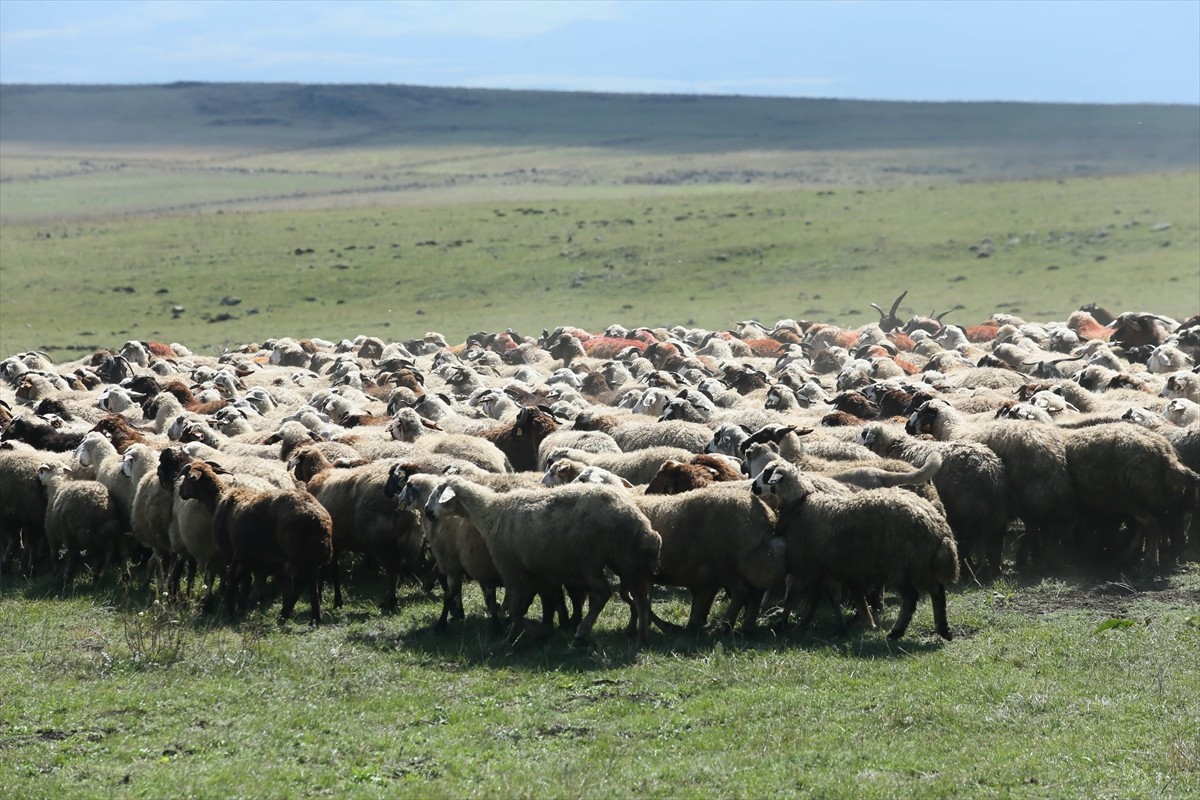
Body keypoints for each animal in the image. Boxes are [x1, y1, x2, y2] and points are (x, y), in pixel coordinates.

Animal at [175, 455, 333, 623]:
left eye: (186, 478)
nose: (180, 492)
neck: (218, 499)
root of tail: (320, 519)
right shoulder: (244, 554)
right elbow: (243, 580)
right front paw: (241, 606)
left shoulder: (228, 551)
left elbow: (232, 580)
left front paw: (230, 611)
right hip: (312, 558)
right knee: (310, 585)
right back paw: (310, 619)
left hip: (298, 555)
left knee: (300, 584)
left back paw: (287, 617)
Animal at [420, 474, 667, 652]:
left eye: (437, 493)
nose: (426, 511)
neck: (490, 512)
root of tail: (643, 525)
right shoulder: (538, 573)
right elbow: (533, 605)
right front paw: (541, 630)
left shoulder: (512, 570)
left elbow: (516, 608)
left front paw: (512, 637)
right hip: (625, 561)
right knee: (641, 598)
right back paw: (642, 639)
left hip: (590, 560)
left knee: (602, 594)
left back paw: (581, 634)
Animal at [748, 460, 955, 642]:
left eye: (767, 473)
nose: (753, 487)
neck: (801, 504)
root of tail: (937, 525)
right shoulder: (826, 567)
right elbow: (828, 598)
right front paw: (835, 627)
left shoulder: (804, 563)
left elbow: (792, 596)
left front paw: (782, 625)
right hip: (921, 564)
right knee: (937, 592)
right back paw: (943, 629)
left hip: (902, 565)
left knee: (912, 598)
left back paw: (897, 631)